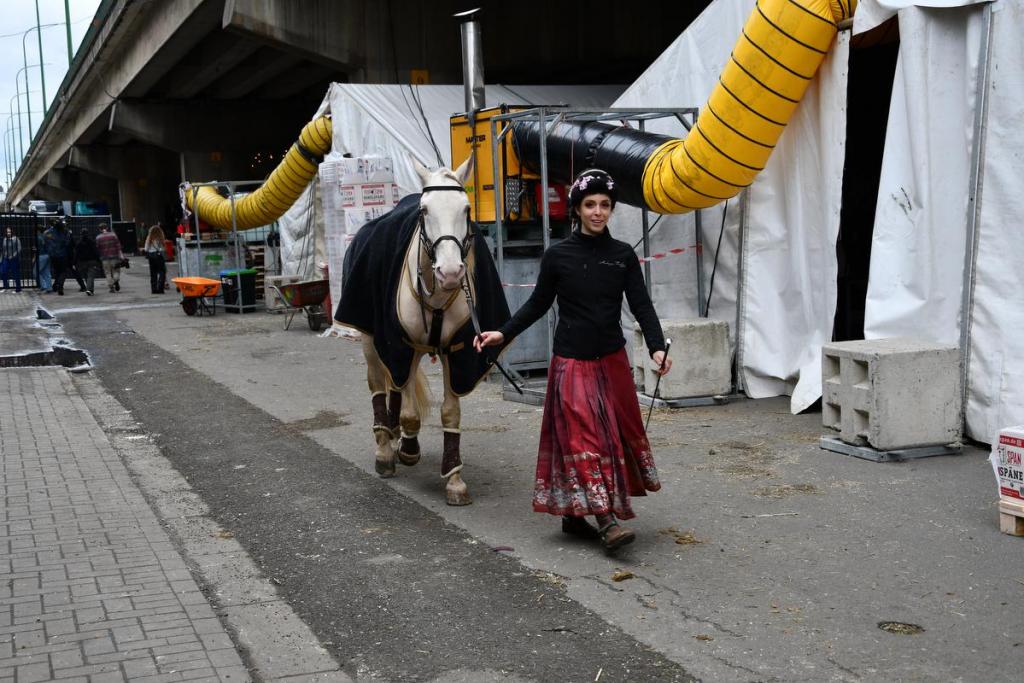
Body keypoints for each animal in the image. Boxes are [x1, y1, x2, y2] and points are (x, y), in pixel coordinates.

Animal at [336, 157, 510, 506]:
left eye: (466, 209)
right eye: (425, 210)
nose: (451, 272)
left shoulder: (455, 353)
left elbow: (450, 414)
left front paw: (454, 480)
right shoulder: (402, 343)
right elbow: (410, 414)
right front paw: (406, 451)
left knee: (394, 387)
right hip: (372, 341)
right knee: (378, 385)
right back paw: (385, 448)